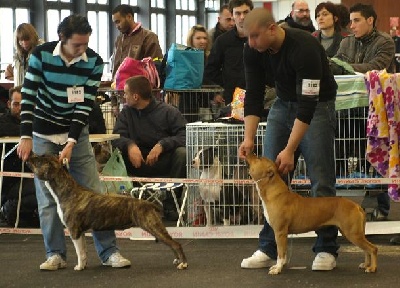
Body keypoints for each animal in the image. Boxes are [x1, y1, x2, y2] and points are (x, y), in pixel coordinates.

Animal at [27, 154, 188, 272]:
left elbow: (79, 252)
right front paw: (83, 265)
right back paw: (177, 261)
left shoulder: (74, 231)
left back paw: (183, 264)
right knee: (172, 244)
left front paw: (79, 267)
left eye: (39, 160)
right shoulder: (80, 232)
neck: (66, 191)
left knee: (176, 244)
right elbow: (83, 251)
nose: (29, 156)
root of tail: (148, 204)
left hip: (153, 226)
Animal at [245, 154, 376, 276]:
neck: (273, 191)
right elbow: (284, 252)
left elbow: (280, 253)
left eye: (258, 158)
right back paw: (366, 265)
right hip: (353, 233)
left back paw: (372, 268)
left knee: (372, 248)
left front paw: (277, 268)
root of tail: (356, 205)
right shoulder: (283, 234)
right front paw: (281, 265)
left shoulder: (280, 232)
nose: (250, 152)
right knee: (366, 249)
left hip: (353, 234)